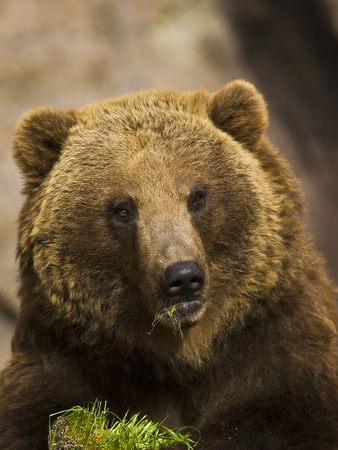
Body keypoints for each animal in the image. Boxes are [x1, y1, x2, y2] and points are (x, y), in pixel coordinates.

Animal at [0, 81, 338, 450]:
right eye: (122, 209)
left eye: (198, 196)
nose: (182, 277)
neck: (182, 355)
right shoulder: (65, 356)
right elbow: (35, 413)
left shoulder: (280, 345)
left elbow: (280, 412)